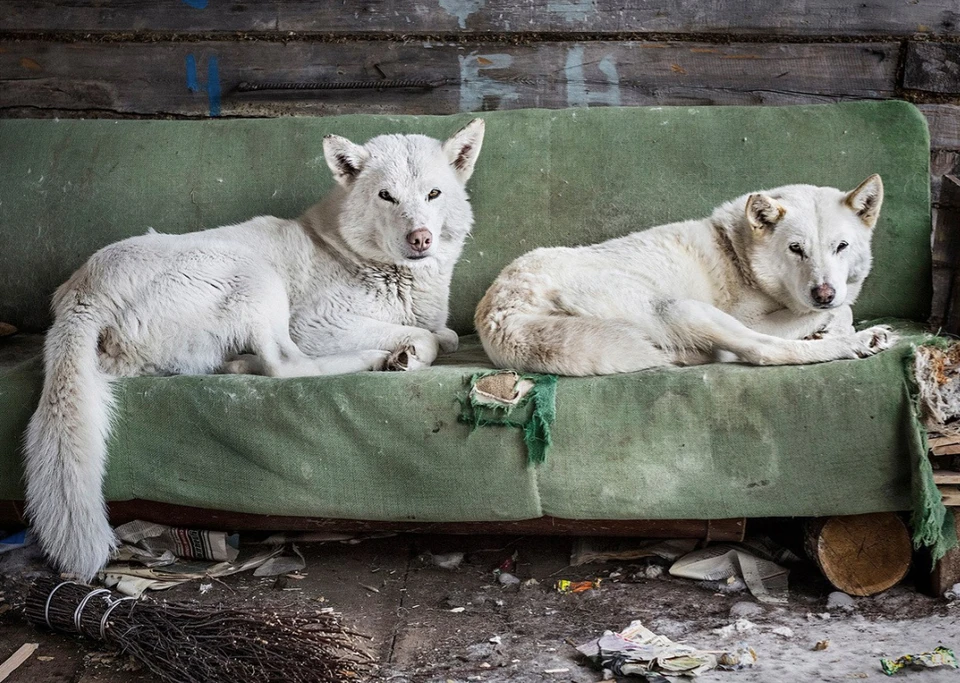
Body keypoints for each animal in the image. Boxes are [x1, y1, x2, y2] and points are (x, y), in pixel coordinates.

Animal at [25, 120, 484, 580]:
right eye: (386, 195)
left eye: (433, 194)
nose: (420, 239)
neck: (351, 252)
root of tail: (81, 295)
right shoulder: (318, 324)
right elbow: (425, 338)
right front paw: (405, 355)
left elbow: (446, 334)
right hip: (256, 275)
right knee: (286, 365)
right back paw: (372, 360)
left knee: (237, 366)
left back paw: (241, 362)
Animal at [476, 174, 896, 376]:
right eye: (796, 249)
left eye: (841, 247)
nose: (824, 292)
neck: (739, 251)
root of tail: (502, 312)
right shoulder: (756, 318)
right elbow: (836, 312)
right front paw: (834, 329)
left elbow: (838, 310)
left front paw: (830, 324)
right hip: (683, 309)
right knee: (762, 351)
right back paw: (860, 343)